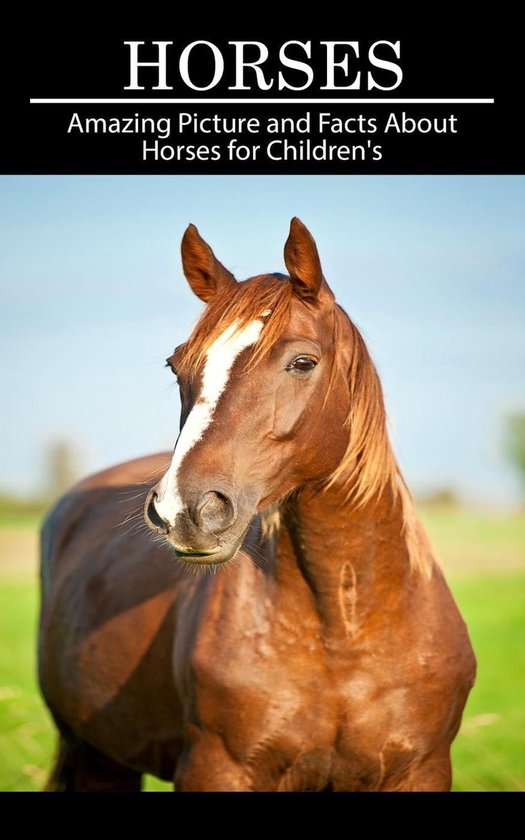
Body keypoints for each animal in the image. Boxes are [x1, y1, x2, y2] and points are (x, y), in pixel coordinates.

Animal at [38, 218, 476, 792]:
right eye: (176, 366)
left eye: (303, 362)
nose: (184, 510)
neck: (344, 627)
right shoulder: (215, 768)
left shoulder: (422, 770)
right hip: (96, 756)